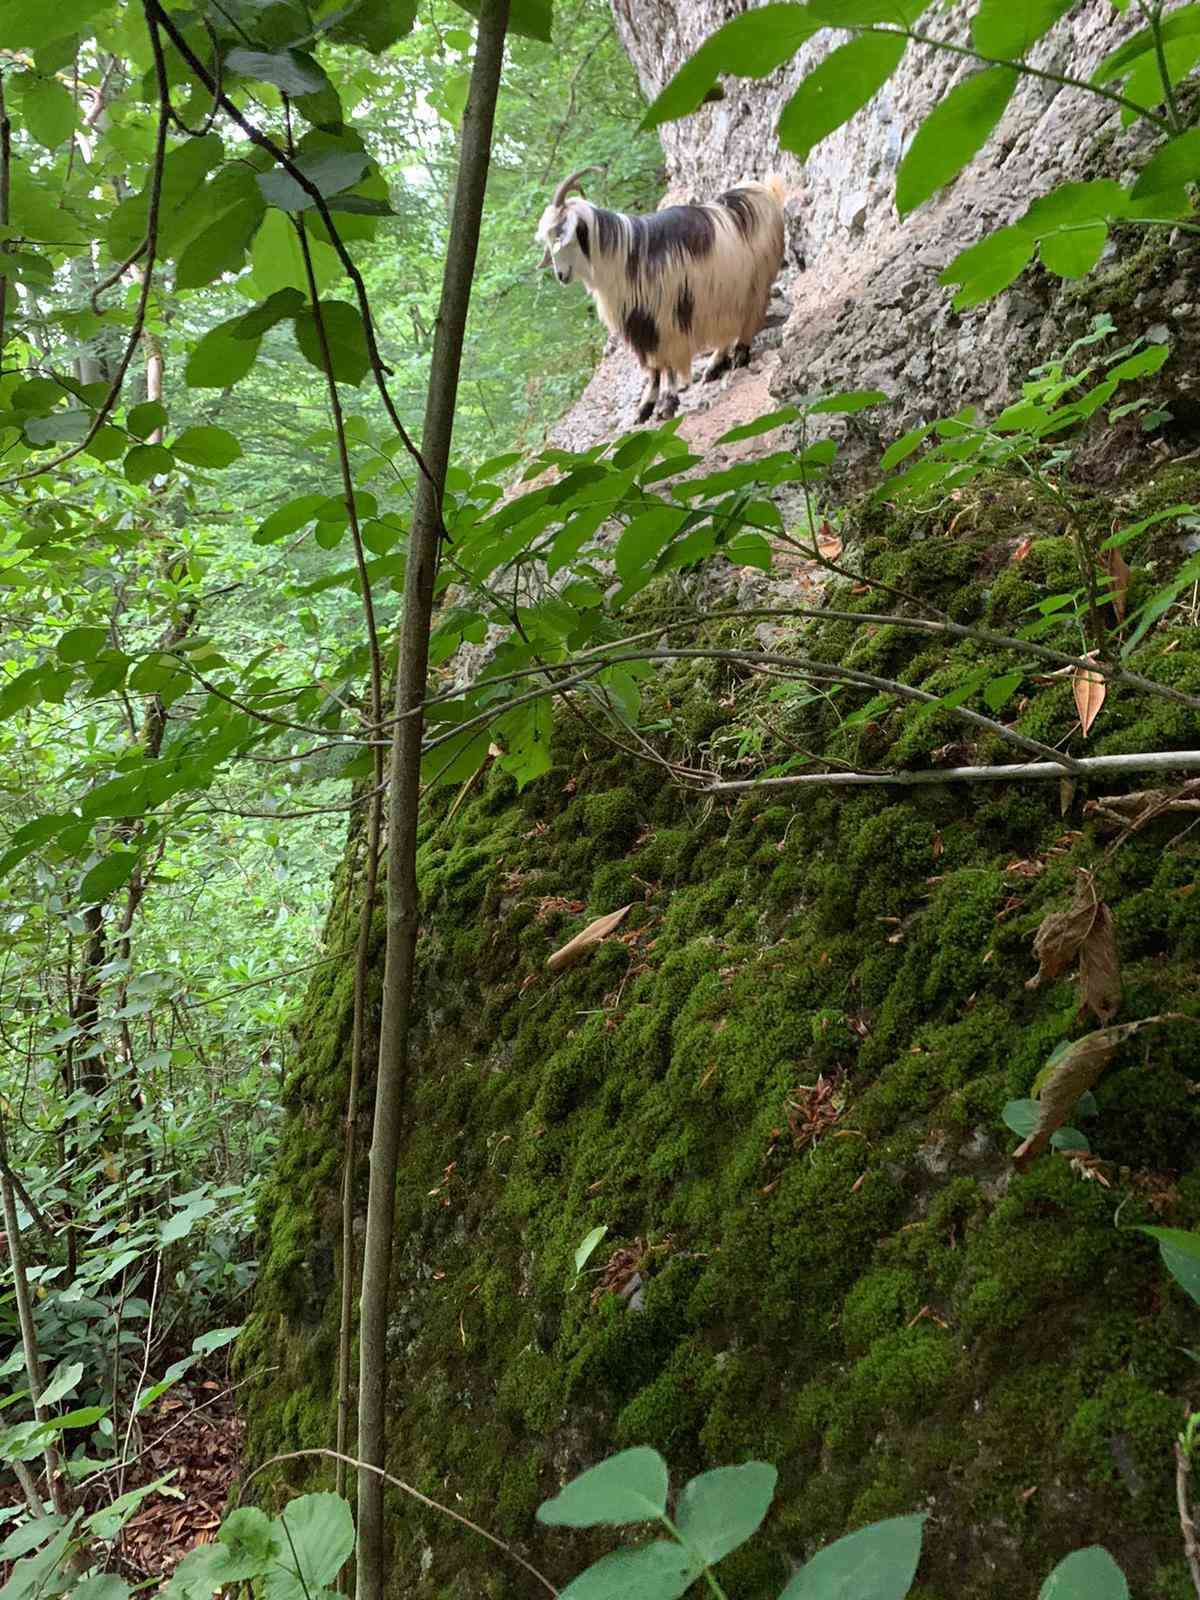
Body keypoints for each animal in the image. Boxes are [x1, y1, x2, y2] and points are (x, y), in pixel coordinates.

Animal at [537, 168, 790, 425]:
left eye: (560, 234)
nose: (561, 275)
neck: (624, 257)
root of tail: (765, 190)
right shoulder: (641, 323)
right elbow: (653, 367)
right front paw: (644, 408)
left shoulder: (665, 317)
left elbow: (667, 363)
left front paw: (667, 403)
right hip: (727, 293)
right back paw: (715, 366)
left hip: (757, 282)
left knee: (751, 316)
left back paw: (740, 356)